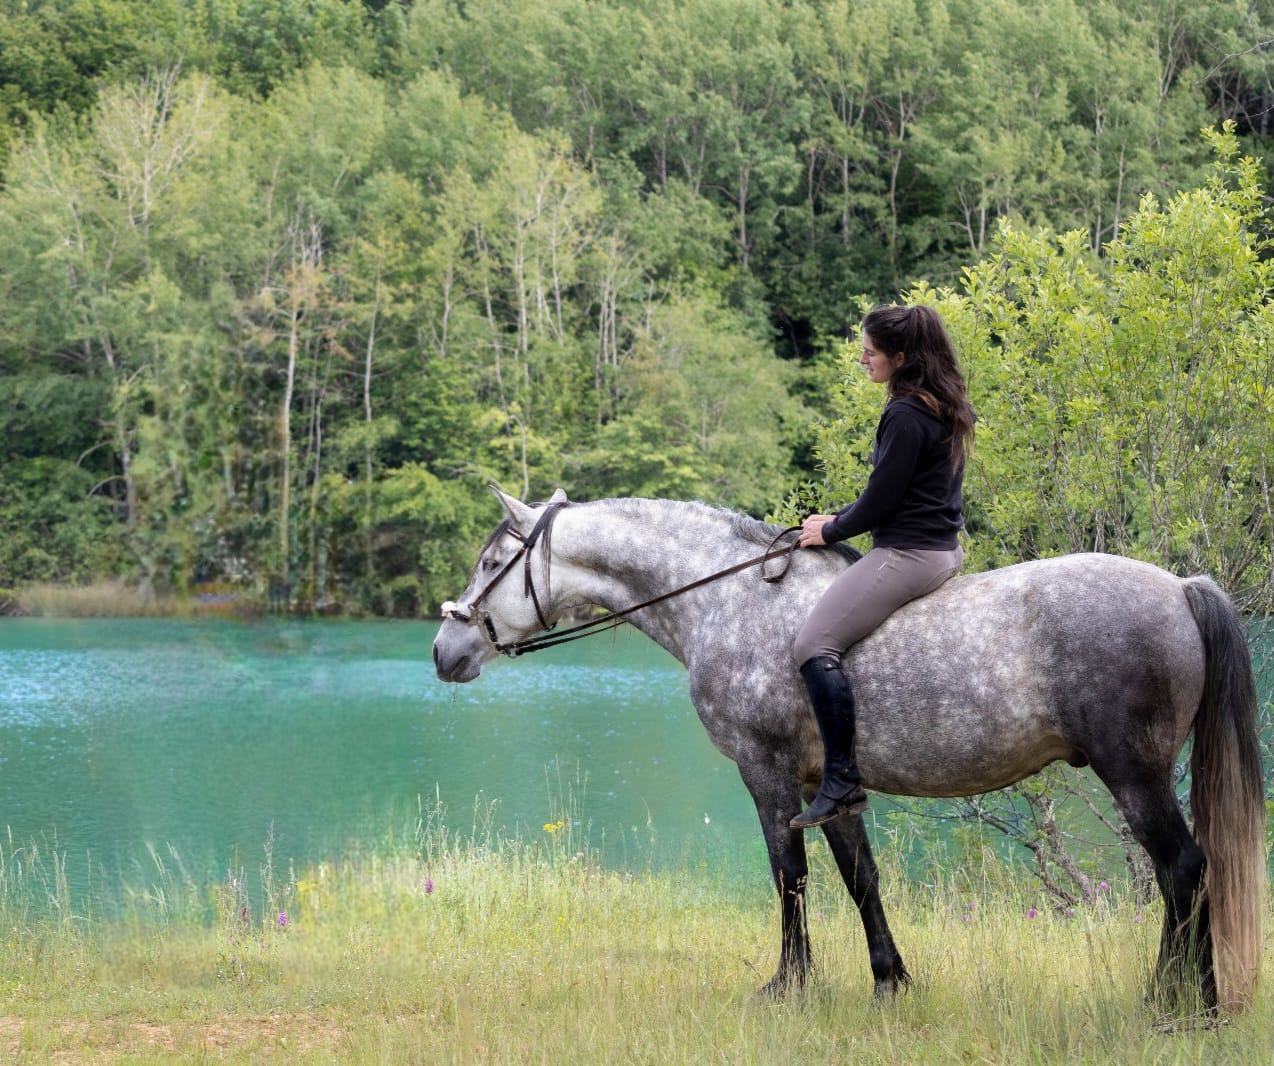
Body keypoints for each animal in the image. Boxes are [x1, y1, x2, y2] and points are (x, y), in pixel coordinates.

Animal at [431, 488, 1266, 1012]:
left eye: (490, 564)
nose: (444, 651)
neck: (732, 599)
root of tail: (1180, 587)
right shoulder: (825, 786)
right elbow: (861, 877)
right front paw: (889, 981)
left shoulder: (766, 772)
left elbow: (789, 877)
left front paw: (789, 986)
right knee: (1181, 880)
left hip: (1136, 774)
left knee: (1184, 872)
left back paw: (1187, 1004)